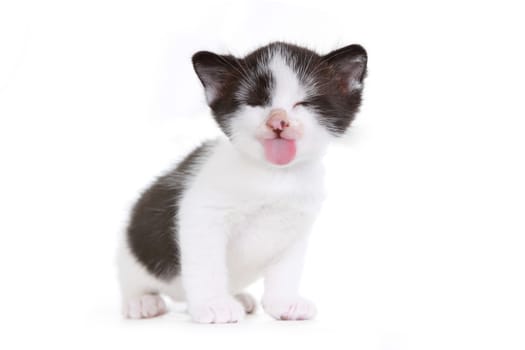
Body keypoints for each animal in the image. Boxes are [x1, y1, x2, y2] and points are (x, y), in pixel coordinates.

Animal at [117, 42, 366, 324]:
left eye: (304, 103)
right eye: (255, 102)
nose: (278, 120)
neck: (274, 176)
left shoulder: (298, 223)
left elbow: (287, 268)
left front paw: (284, 302)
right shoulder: (201, 215)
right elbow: (207, 263)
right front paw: (214, 305)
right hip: (136, 246)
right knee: (134, 279)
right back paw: (142, 301)